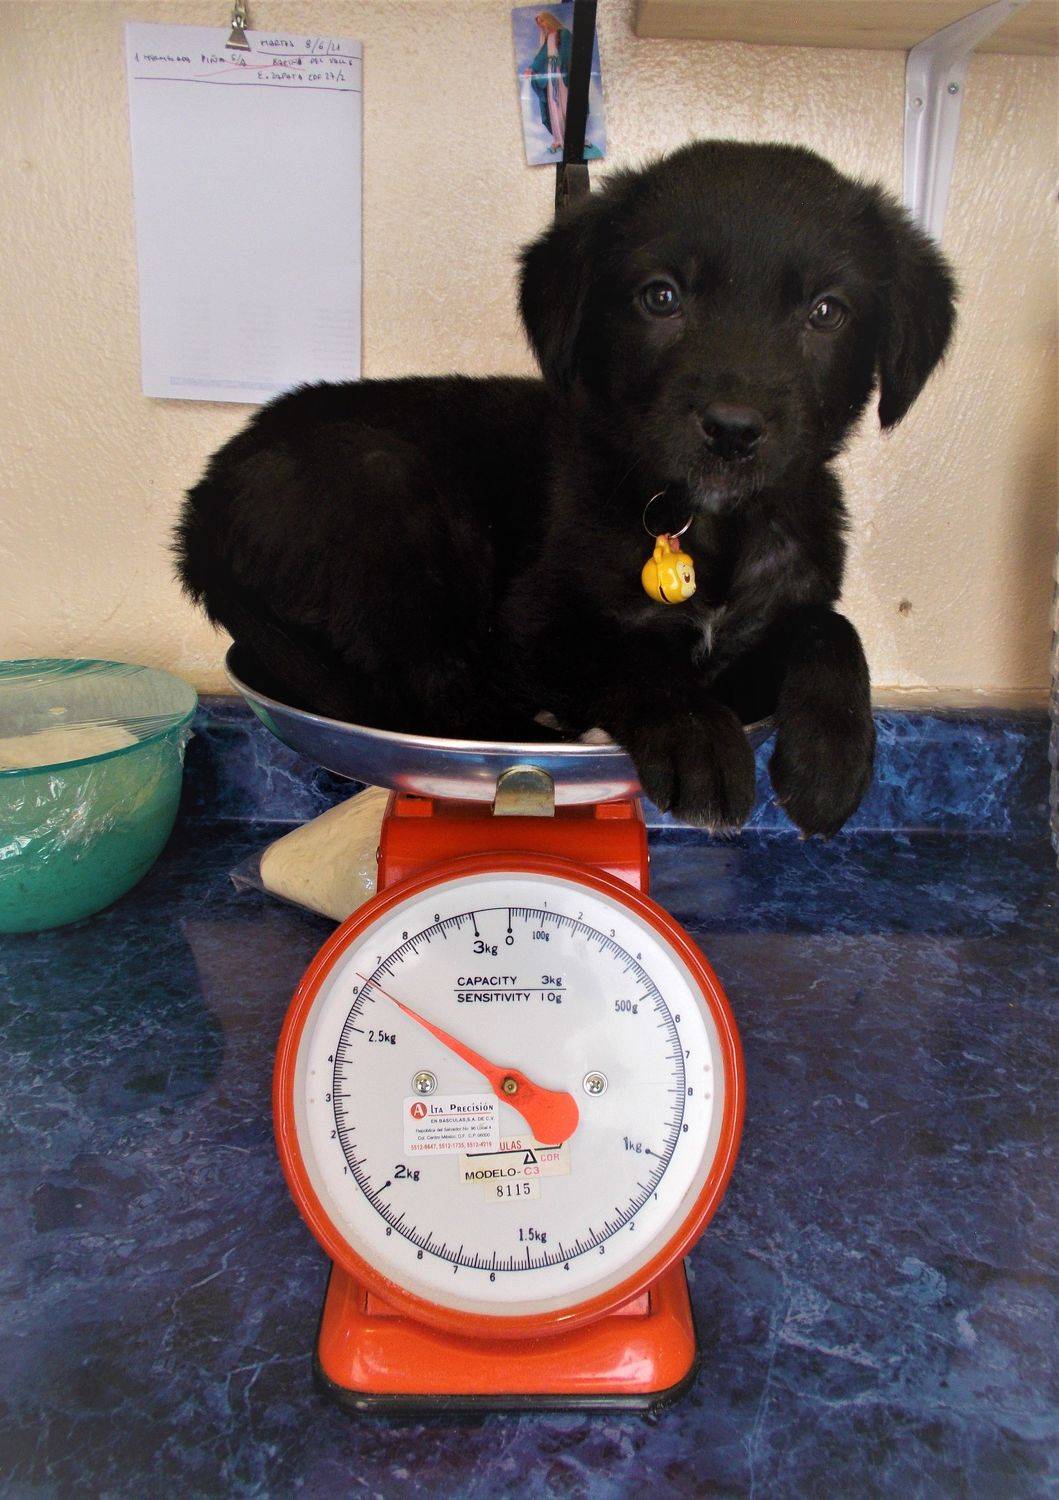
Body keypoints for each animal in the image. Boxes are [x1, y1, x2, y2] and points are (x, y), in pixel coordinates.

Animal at [176, 140, 956, 835]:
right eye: (660, 297)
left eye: (826, 311)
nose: (733, 430)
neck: (703, 524)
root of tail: (201, 509)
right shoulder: (535, 620)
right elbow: (630, 658)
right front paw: (698, 738)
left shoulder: (748, 653)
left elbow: (830, 627)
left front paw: (832, 757)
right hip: (385, 493)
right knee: (434, 690)